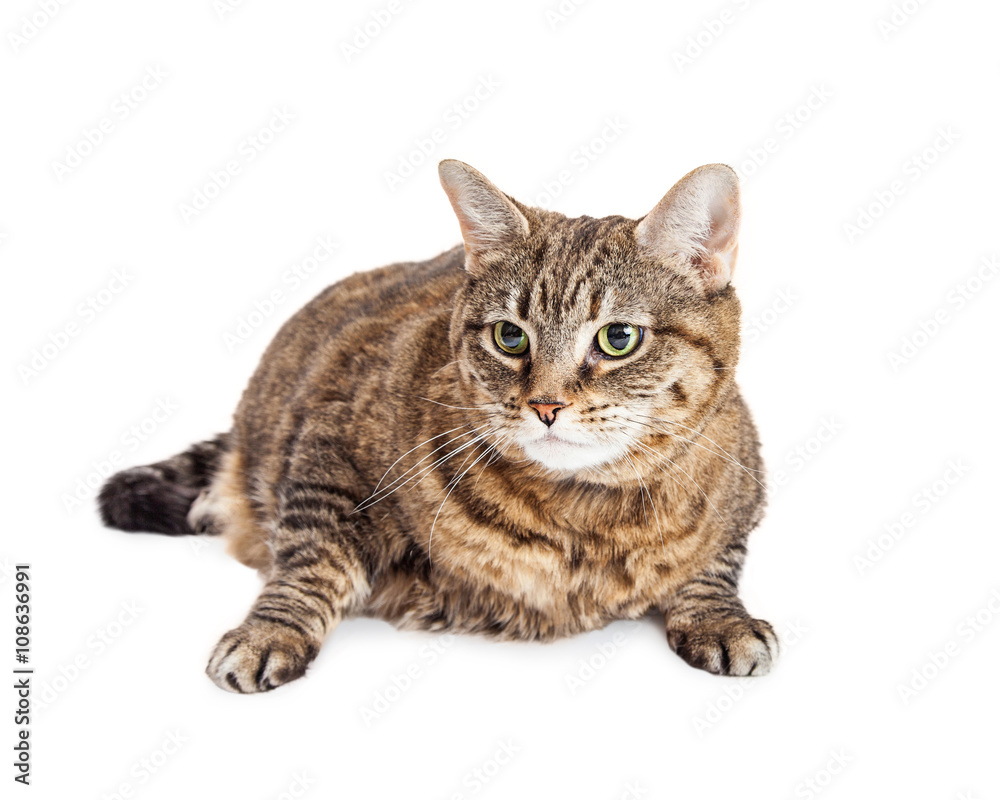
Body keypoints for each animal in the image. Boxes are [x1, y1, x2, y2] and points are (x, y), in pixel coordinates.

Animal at [99, 159, 772, 692]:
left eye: (618, 338)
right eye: (509, 337)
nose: (545, 405)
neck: (581, 516)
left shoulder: (746, 476)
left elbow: (714, 560)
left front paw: (721, 617)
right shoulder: (326, 446)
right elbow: (309, 560)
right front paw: (270, 632)